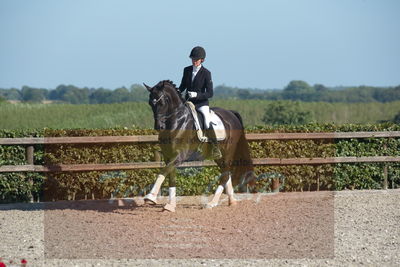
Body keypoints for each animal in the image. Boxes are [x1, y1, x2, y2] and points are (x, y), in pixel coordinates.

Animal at [142, 80, 253, 213]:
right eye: (150, 103)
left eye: (162, 103)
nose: (159, 127)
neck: (177, 121)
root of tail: (231, 113)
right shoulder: (169, 157)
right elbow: (170, 176)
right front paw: (170, 205)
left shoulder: (180, 156)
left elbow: (163, 171)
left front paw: (150, 197)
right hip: (219, 156)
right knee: (226, 174)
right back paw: (232, 201)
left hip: (228, 152)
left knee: (225, 174)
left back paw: (211, 203)